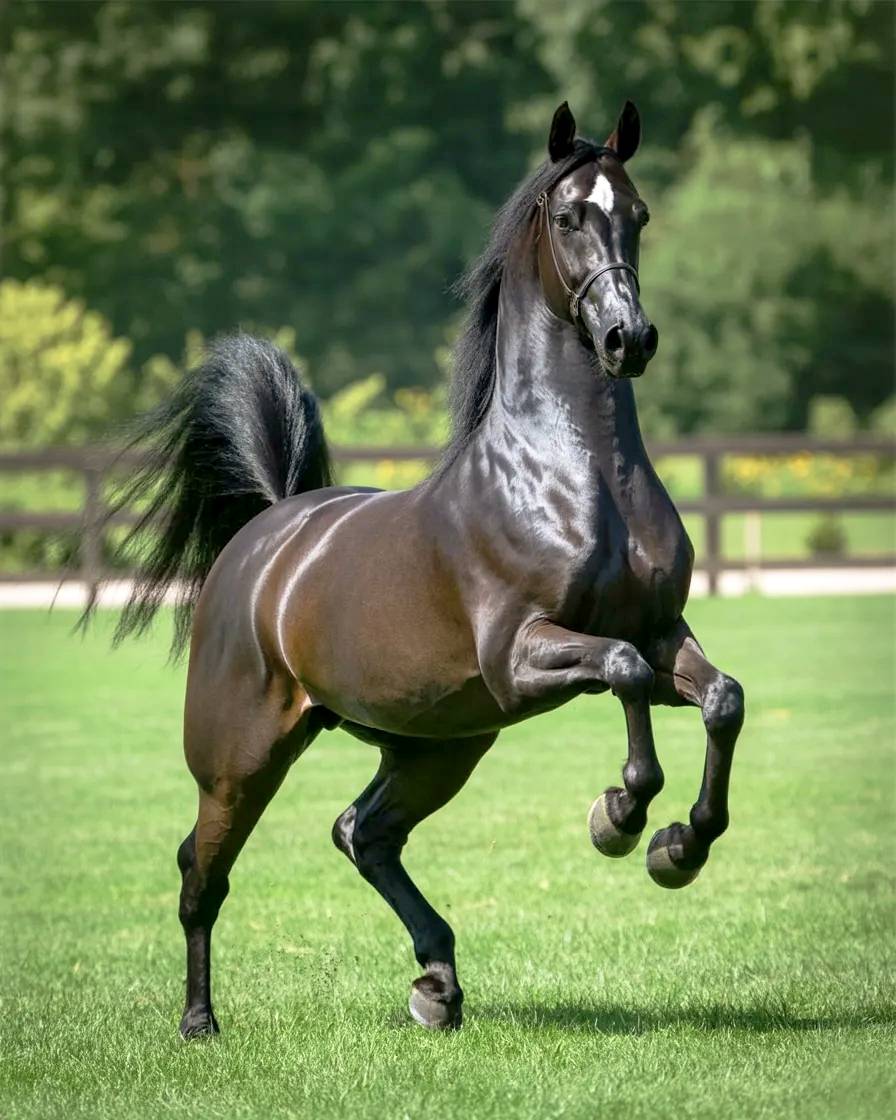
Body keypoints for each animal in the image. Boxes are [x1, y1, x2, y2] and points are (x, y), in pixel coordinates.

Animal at [89, 100, 744, 1038]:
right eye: (568, 215)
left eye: (640, 214)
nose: (631, 338)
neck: (577, 474)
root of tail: (267, 535)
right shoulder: (523, 655)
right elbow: (621, 678)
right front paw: (619, 819)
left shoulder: (661, 635)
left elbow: (721, 698)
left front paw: (678, 849)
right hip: (240, 755)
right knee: (200, 871)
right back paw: (199, 1023)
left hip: (437, 748)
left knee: (362, 833)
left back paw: (436, 984)